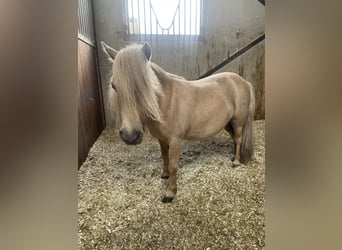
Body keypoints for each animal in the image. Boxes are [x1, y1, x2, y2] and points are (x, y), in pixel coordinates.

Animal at [101, 42, 254, 203]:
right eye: (114, 86)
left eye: (144, 85)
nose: (130, 136)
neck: (166, 102)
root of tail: (243, 81)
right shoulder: (161, 139)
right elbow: (165, 157)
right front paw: (165, 175)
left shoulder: (175, 140)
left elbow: (173, 165)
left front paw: (170, 193)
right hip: (227, 123)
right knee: (234, 139)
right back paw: (233, 156)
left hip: (237, 122)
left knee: (238, 138)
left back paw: (236, 162)